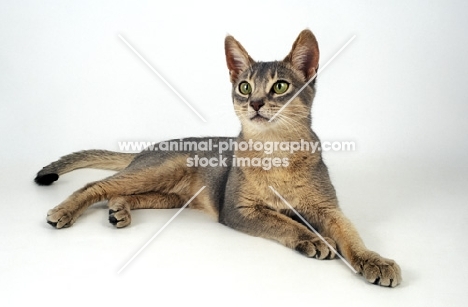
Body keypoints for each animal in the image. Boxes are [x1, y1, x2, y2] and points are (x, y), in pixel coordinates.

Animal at [35, 29, 402, 288]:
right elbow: (284, 222)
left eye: (280, 86)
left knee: (121, 193)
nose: (255, 102)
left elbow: (351, 234)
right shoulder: (238, 209)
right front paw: (313, 238)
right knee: (97, 185)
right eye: (244, 87)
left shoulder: (329, 208)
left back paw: (119, 211)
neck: (276, 152)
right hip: (159, 170)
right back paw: (64, 212)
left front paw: (375, 260)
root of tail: (150, 147)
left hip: (172, 197)